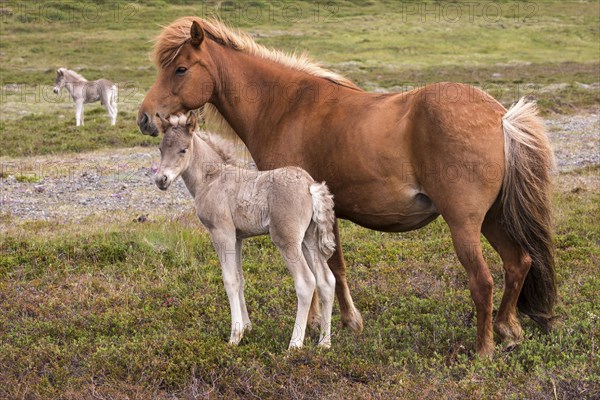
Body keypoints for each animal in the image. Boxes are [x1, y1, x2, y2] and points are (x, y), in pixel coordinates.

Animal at [138, 17, 556, 358]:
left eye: (180, 68)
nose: (144, 118)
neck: (284, 106)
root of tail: (501, 117)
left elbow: (327, 268)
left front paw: (331, 324)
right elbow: (331, 267)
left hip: (464, 225)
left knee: (482, 280)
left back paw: (484, 348)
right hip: (493, 219)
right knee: (519, 263)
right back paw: (509, 330)